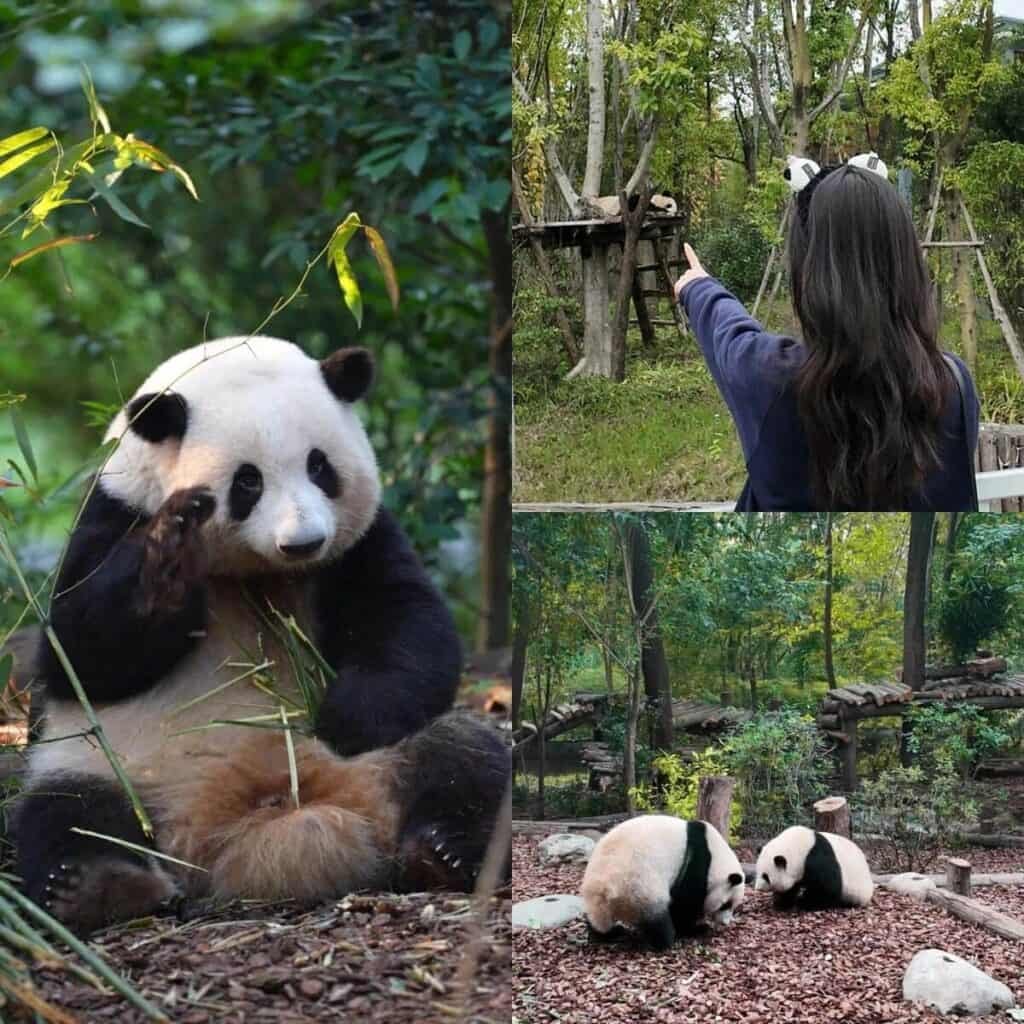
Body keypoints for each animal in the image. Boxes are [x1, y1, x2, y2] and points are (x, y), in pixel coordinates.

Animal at [15, 336, 510, 934]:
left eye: (320, 466)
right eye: (247, 481)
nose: (304, 542)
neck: (255, 572)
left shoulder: (358, 543)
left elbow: (409, 620)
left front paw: (347, 716)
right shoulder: (113, 513)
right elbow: (79, 652)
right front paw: (168, 560)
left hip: (389, 761)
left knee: (464, 757)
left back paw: (445, 852)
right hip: (113, 765)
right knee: (66, 813)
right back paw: (99, 886)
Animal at [580, 815, 745, 951]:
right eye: (726, 904)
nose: (725, 923)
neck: (716, 854)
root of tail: (605, 889)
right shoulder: (697, 861)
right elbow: (686, 901)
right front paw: (694, 928)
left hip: (597, 896)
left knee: (597, 919)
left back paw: (608, 933)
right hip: (639, 887)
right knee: (657, 919)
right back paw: (661, 941)